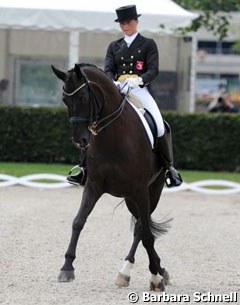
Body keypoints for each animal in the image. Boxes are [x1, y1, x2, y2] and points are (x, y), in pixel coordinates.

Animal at [53, 62, 171, 290]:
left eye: (83, 97)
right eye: (65, 100)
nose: (80, 141)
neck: (114, 137)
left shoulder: (140, 191)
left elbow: (147, 235)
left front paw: (155, 278)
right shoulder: (94, 185)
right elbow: (78, 221)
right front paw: (67, 268)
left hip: (152, 192)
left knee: (142, 229)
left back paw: (136, 271)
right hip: (130, 199)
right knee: (140, 226)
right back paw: (141, 270)